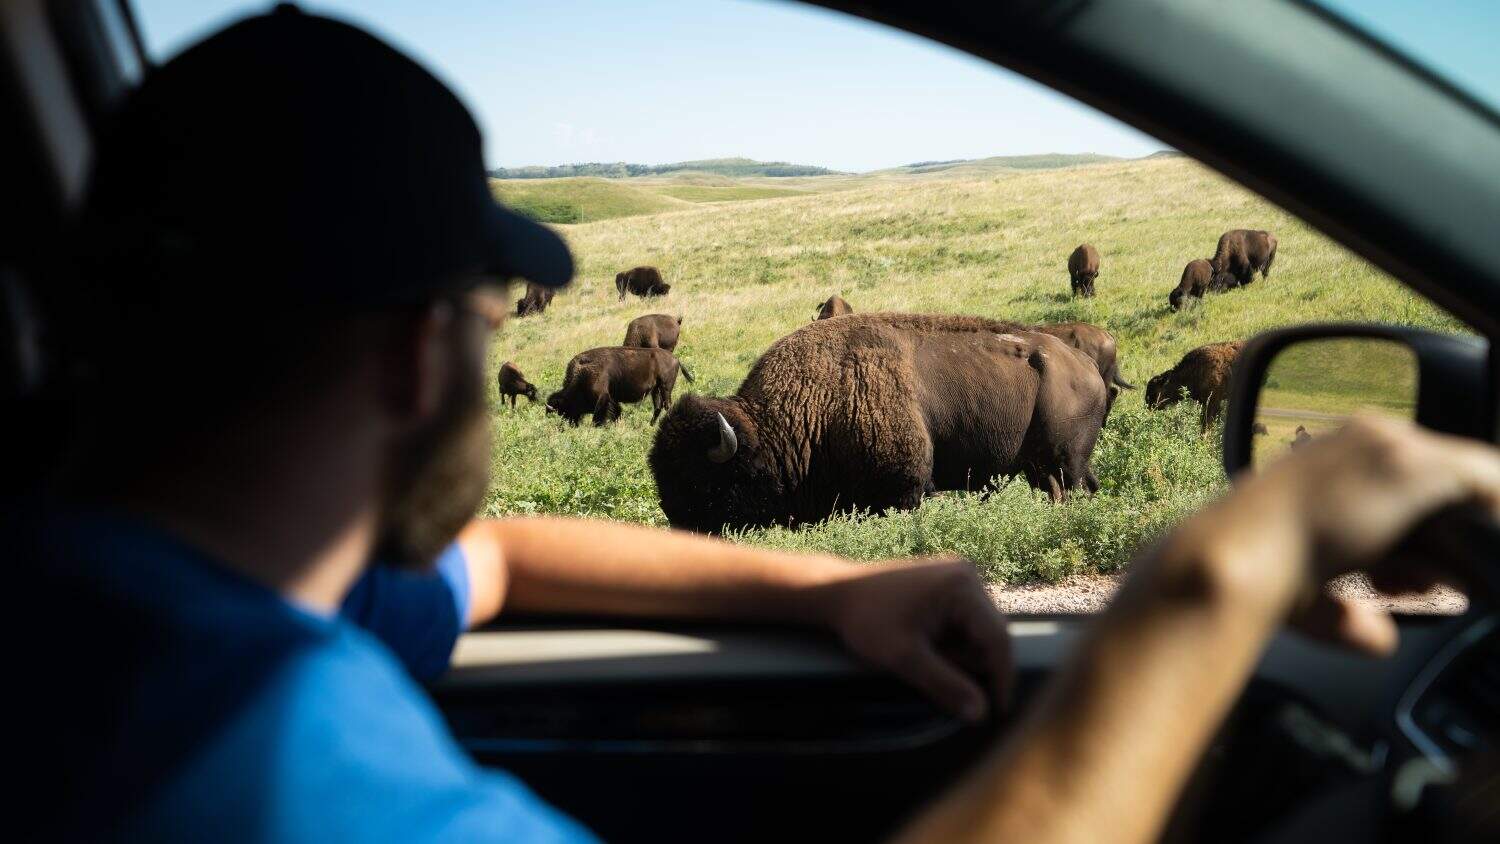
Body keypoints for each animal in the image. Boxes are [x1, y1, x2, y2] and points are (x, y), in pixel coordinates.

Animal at [546, 346, 693, 426]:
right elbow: (616, 412)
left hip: (665, 387)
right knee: (658, 407)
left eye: (564, 410)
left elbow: (598, 417)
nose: (571, 424)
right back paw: (651, 425)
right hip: (655, 390)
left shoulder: (602, 398)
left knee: (667, 405)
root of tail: (676, 359)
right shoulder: (612, 399)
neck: (582, 374)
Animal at [649, 313, 1110, 533]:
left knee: (1076, 489)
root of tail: (1086, 365)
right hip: (1042, 467)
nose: (678, 526)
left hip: (1067, 461)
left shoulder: (905, 489)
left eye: (699, 481)